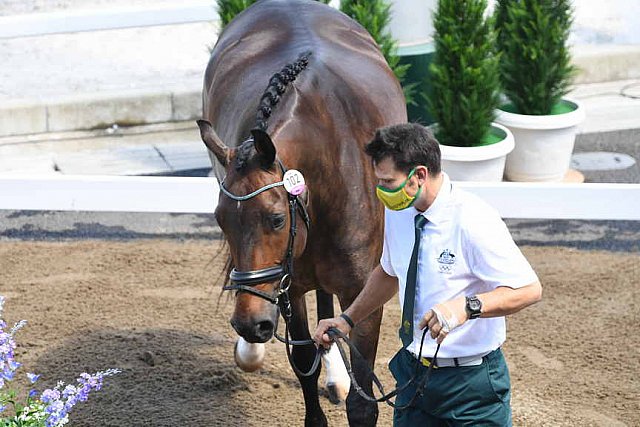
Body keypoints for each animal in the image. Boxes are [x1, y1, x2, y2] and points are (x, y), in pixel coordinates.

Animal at [198, 1, 404, 426]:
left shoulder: (364, 291)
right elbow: (304, 357)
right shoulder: (287, 287)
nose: (250, 324)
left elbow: (362, 402)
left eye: (277, 219)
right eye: (221, 221)